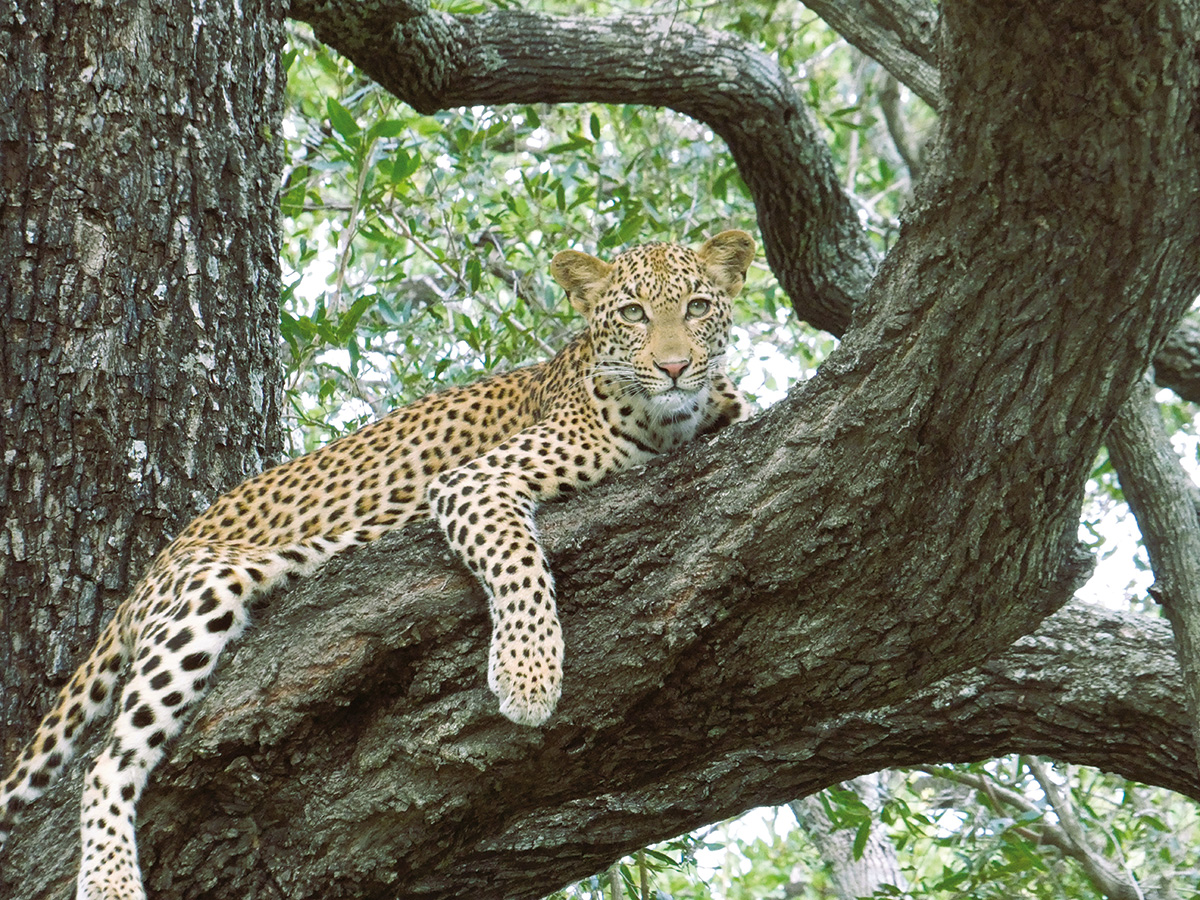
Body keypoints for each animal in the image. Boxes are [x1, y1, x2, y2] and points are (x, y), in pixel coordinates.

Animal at [0, 229, 755, 899]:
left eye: (698, 307)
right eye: (632, 314)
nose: (674, 367)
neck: (669, 420)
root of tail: (160, 558)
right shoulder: (470, 484)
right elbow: (518, 564)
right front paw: (528, 674)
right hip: (204, 591)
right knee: (106, 764)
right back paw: (109, 880)